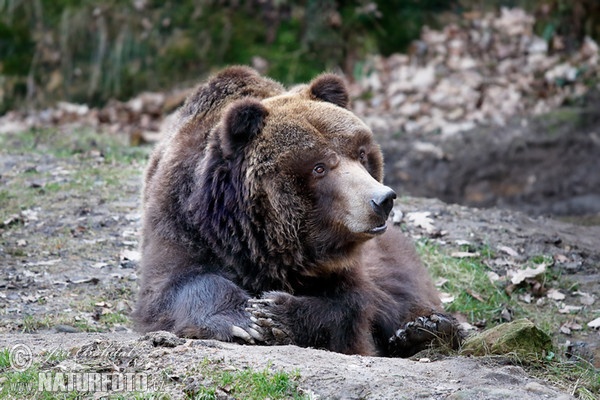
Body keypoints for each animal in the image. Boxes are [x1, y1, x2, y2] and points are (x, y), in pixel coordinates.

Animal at [135, 66, 464, 356]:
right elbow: (173, 286)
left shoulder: (340, 265)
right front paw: (243, 318)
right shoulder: (182, 220)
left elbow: (349, 308)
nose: (382, 199)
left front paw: (274, 314)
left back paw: (426, 328)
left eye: (361, 154)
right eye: (319, 167)